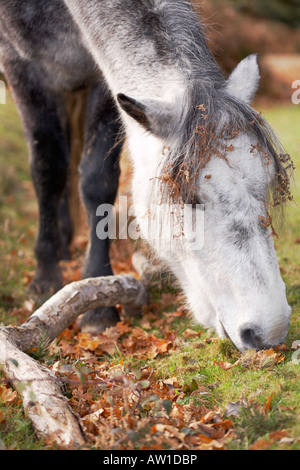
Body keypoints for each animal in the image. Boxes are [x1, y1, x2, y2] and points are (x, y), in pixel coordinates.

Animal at [1, 0, 294, 350]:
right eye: (191, 198)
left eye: (267, 182)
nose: (270, 331)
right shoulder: (22, 69)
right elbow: (48, 169)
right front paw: (46, 278)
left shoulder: (106, 85)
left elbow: (97, 180)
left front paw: (96, 300)